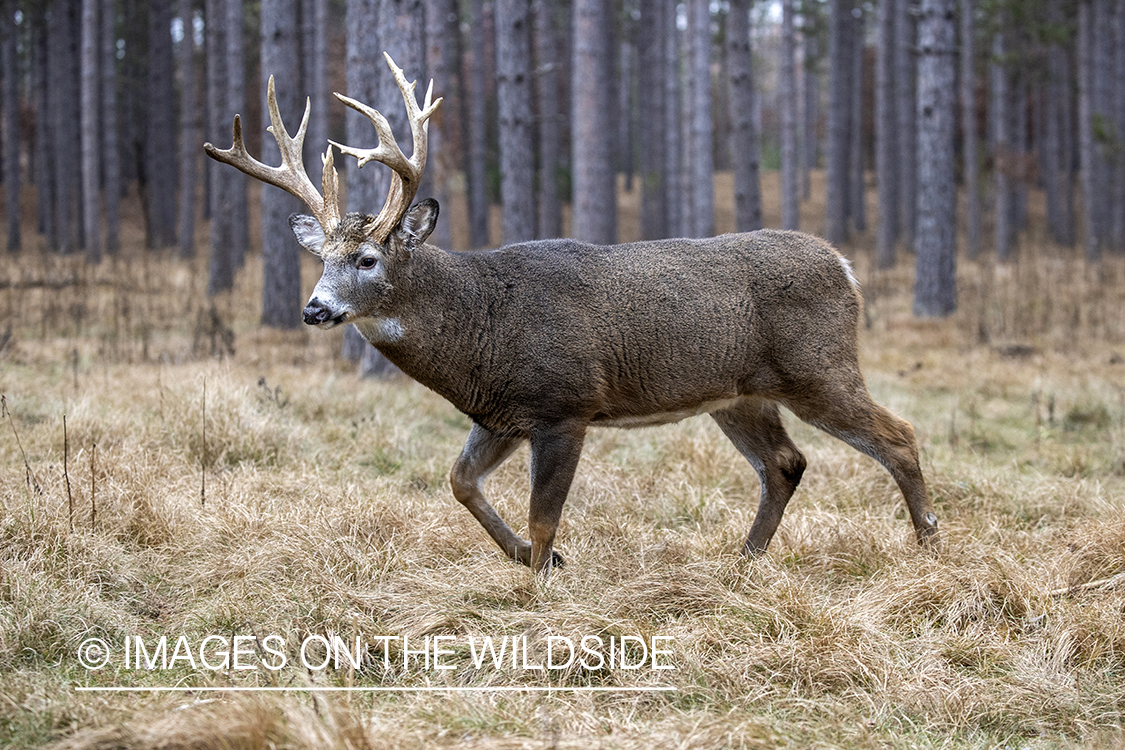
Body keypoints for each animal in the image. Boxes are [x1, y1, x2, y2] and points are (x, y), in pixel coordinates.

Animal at [204, 55, 940, 580]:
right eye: (320, 258)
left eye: (364, 258)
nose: (314, 308)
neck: (479, 327)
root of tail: (844, 264)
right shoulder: (502, 413)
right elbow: (460, 483)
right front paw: (544, 565)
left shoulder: (564, 404)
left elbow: (541, 516)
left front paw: (539, 582)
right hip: (738, 393)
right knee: (785, 463)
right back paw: (743, 562)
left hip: (818, 366)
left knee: (899, 434)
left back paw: (929, 546)